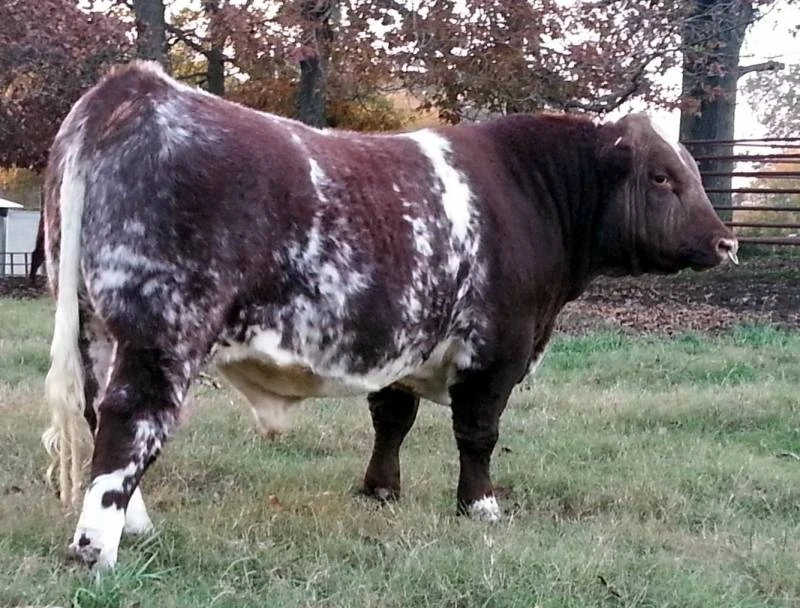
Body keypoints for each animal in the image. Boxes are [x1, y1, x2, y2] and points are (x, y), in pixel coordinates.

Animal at [41, 61, 738, 570]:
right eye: (661, 177)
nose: (726, 242)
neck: (529, 192)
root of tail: (137, 88)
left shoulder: (407, 341)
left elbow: (392, 420)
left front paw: (380, 491)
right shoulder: (496, 349)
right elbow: (477, 433)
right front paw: (481, 508)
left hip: (94, 325)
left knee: (99, 412)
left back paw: (139, 526)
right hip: (162, 330)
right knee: (131, 421)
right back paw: (96, 551)